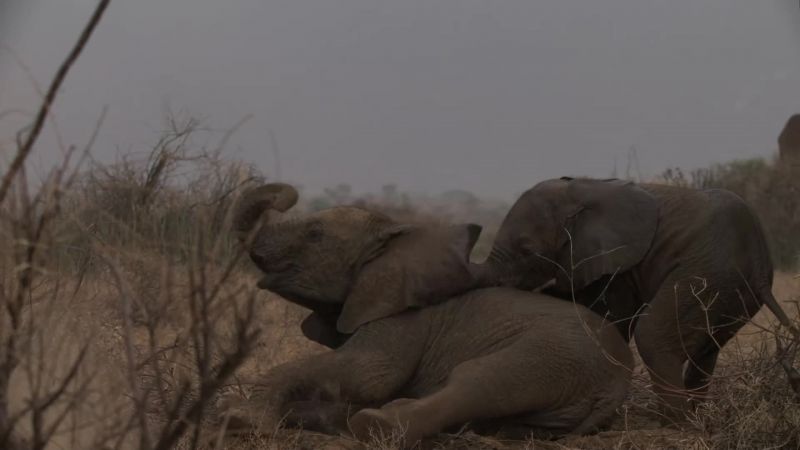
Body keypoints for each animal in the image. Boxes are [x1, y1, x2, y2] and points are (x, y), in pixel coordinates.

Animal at [219, 183, 634, 447]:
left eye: (315, 235)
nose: (285, 196)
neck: (396, 236)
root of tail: (615, 389)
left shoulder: (404, 319)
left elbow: (368, 372)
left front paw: (238, 418)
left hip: (555, 355)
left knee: (479, 381)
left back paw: (376, 424)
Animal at [470, 176, 798, 419]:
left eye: (527, 251)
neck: (579, 192)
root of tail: (760, 263)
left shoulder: (617, 267)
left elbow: (611, 319)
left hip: (707, 275)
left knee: (652, 336)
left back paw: (674, 420)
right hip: (733, 293)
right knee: (707, 349)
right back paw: (696, 413)